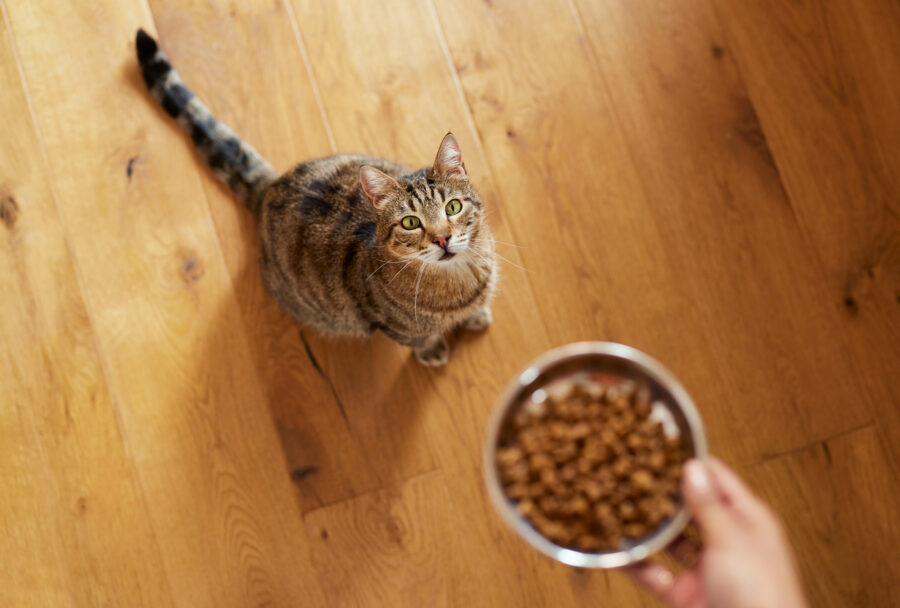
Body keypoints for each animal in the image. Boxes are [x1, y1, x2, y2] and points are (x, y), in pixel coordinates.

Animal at [135, 30, 492, 366]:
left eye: (453, 207)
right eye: (410, 222)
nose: (442, 238)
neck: (459, 279)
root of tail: (271, 186)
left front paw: (476, 315)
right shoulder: (393, 325)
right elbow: (419, 338)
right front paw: (432, 350)